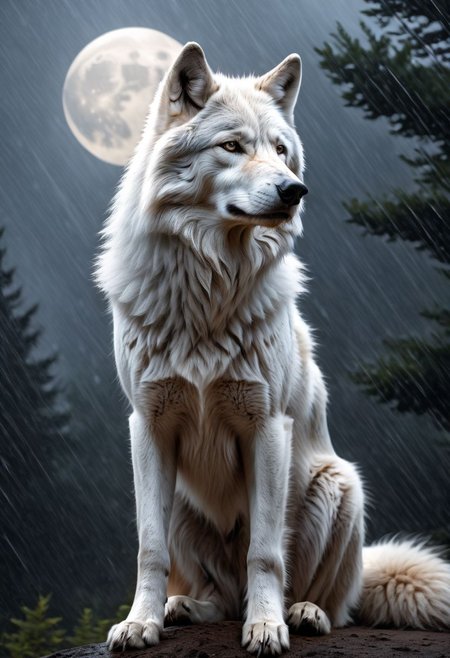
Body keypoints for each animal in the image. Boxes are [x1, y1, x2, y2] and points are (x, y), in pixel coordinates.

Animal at [95, 43, 450, 655]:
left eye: (281, 151)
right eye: (232, 146)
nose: (293, 190)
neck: (208, 289)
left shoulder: (267, 425)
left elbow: (265, 552)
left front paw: (265, 626)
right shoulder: (148, 424)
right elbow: (149, 548)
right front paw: (141, 623)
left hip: (339, 485)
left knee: (332, 602)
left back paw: (303, 612)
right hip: (185, 501)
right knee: (218, 594)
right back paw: (187, 606)